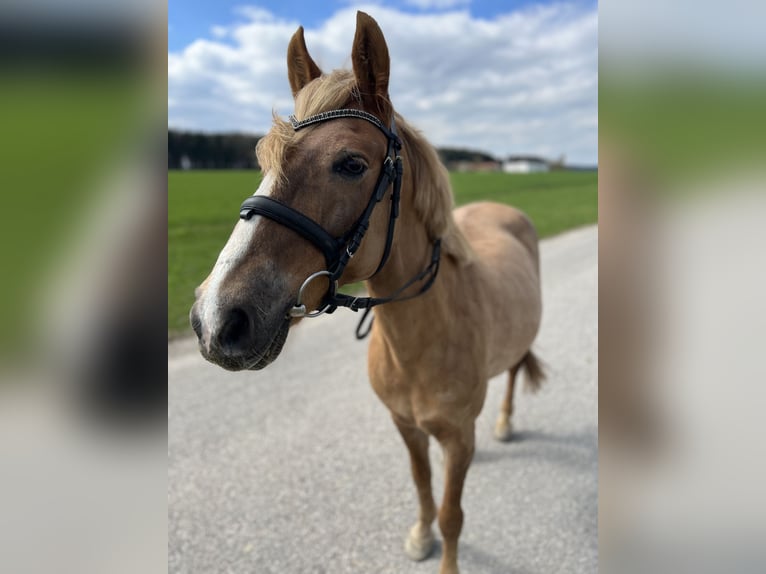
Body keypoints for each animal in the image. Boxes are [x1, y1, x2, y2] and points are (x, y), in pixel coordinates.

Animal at [190, 12, 544, 574]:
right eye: (263, 161)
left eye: (351, 164)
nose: (215, 317)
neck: (420, 342)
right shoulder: (407, 426)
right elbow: (424, 486)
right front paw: (420, 534)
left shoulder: (455, 436)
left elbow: (453, 518)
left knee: (511, 372)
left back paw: (506, 422)